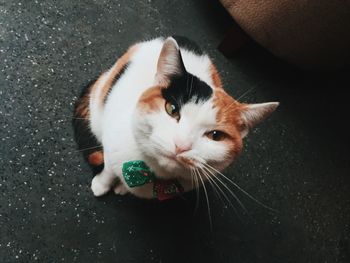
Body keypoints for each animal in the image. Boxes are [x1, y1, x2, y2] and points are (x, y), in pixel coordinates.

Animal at [72, 36, 278, 201]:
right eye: (171, 109)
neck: (152, 174)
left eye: (215, 135)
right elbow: (108, 169)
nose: (181, 146)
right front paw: (101, 185)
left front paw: (122, 187)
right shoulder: (111, 145)